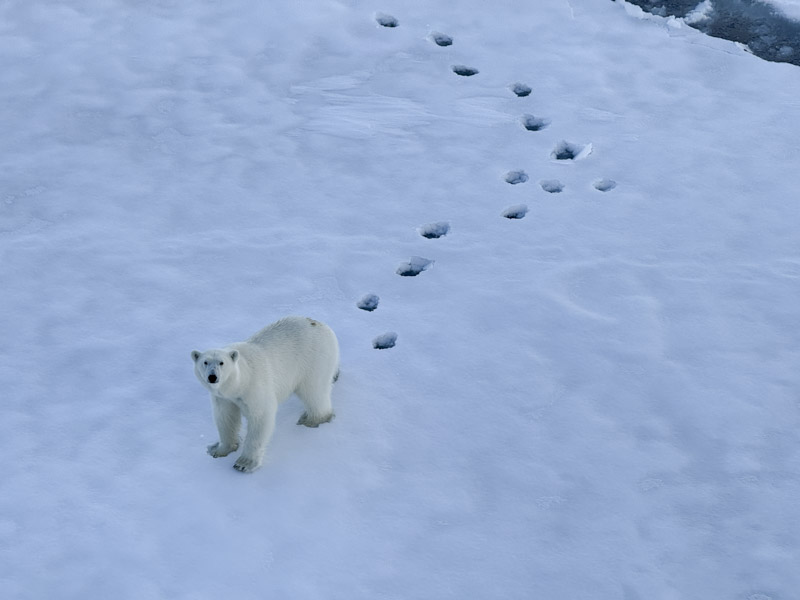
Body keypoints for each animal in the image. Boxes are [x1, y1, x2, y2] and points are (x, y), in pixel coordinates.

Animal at [191, 316, 340, 473]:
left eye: (221, 363)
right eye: (205, 362)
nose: (212, 377)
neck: (239, 383)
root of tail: (320, 324)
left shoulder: (254, 387)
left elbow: (260, 417)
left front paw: (244, 463)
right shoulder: (223, 398)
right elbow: (226, 418)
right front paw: (219, 450)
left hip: (314, 360)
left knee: (313, 391)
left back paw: (311, 420)